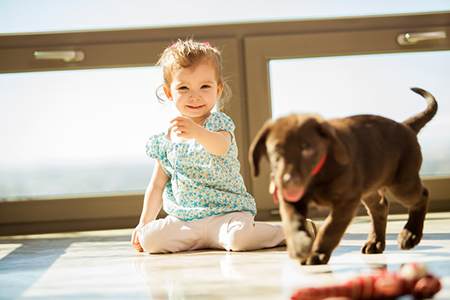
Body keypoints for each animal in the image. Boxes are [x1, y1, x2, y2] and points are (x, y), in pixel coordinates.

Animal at [250, 87, 436, 264]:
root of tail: (405, 127)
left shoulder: (347, 200)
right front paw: (300, 245)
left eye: (307, 149)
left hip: (401, 185)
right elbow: (292, 221)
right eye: (275, 151)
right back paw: (375, 243)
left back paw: (410, 235)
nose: (289, 182)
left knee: (422, 195)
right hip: (369, 187)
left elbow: (331, 227)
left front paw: (317, 253)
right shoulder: (292, 199)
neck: (317, 175)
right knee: (380, 206)